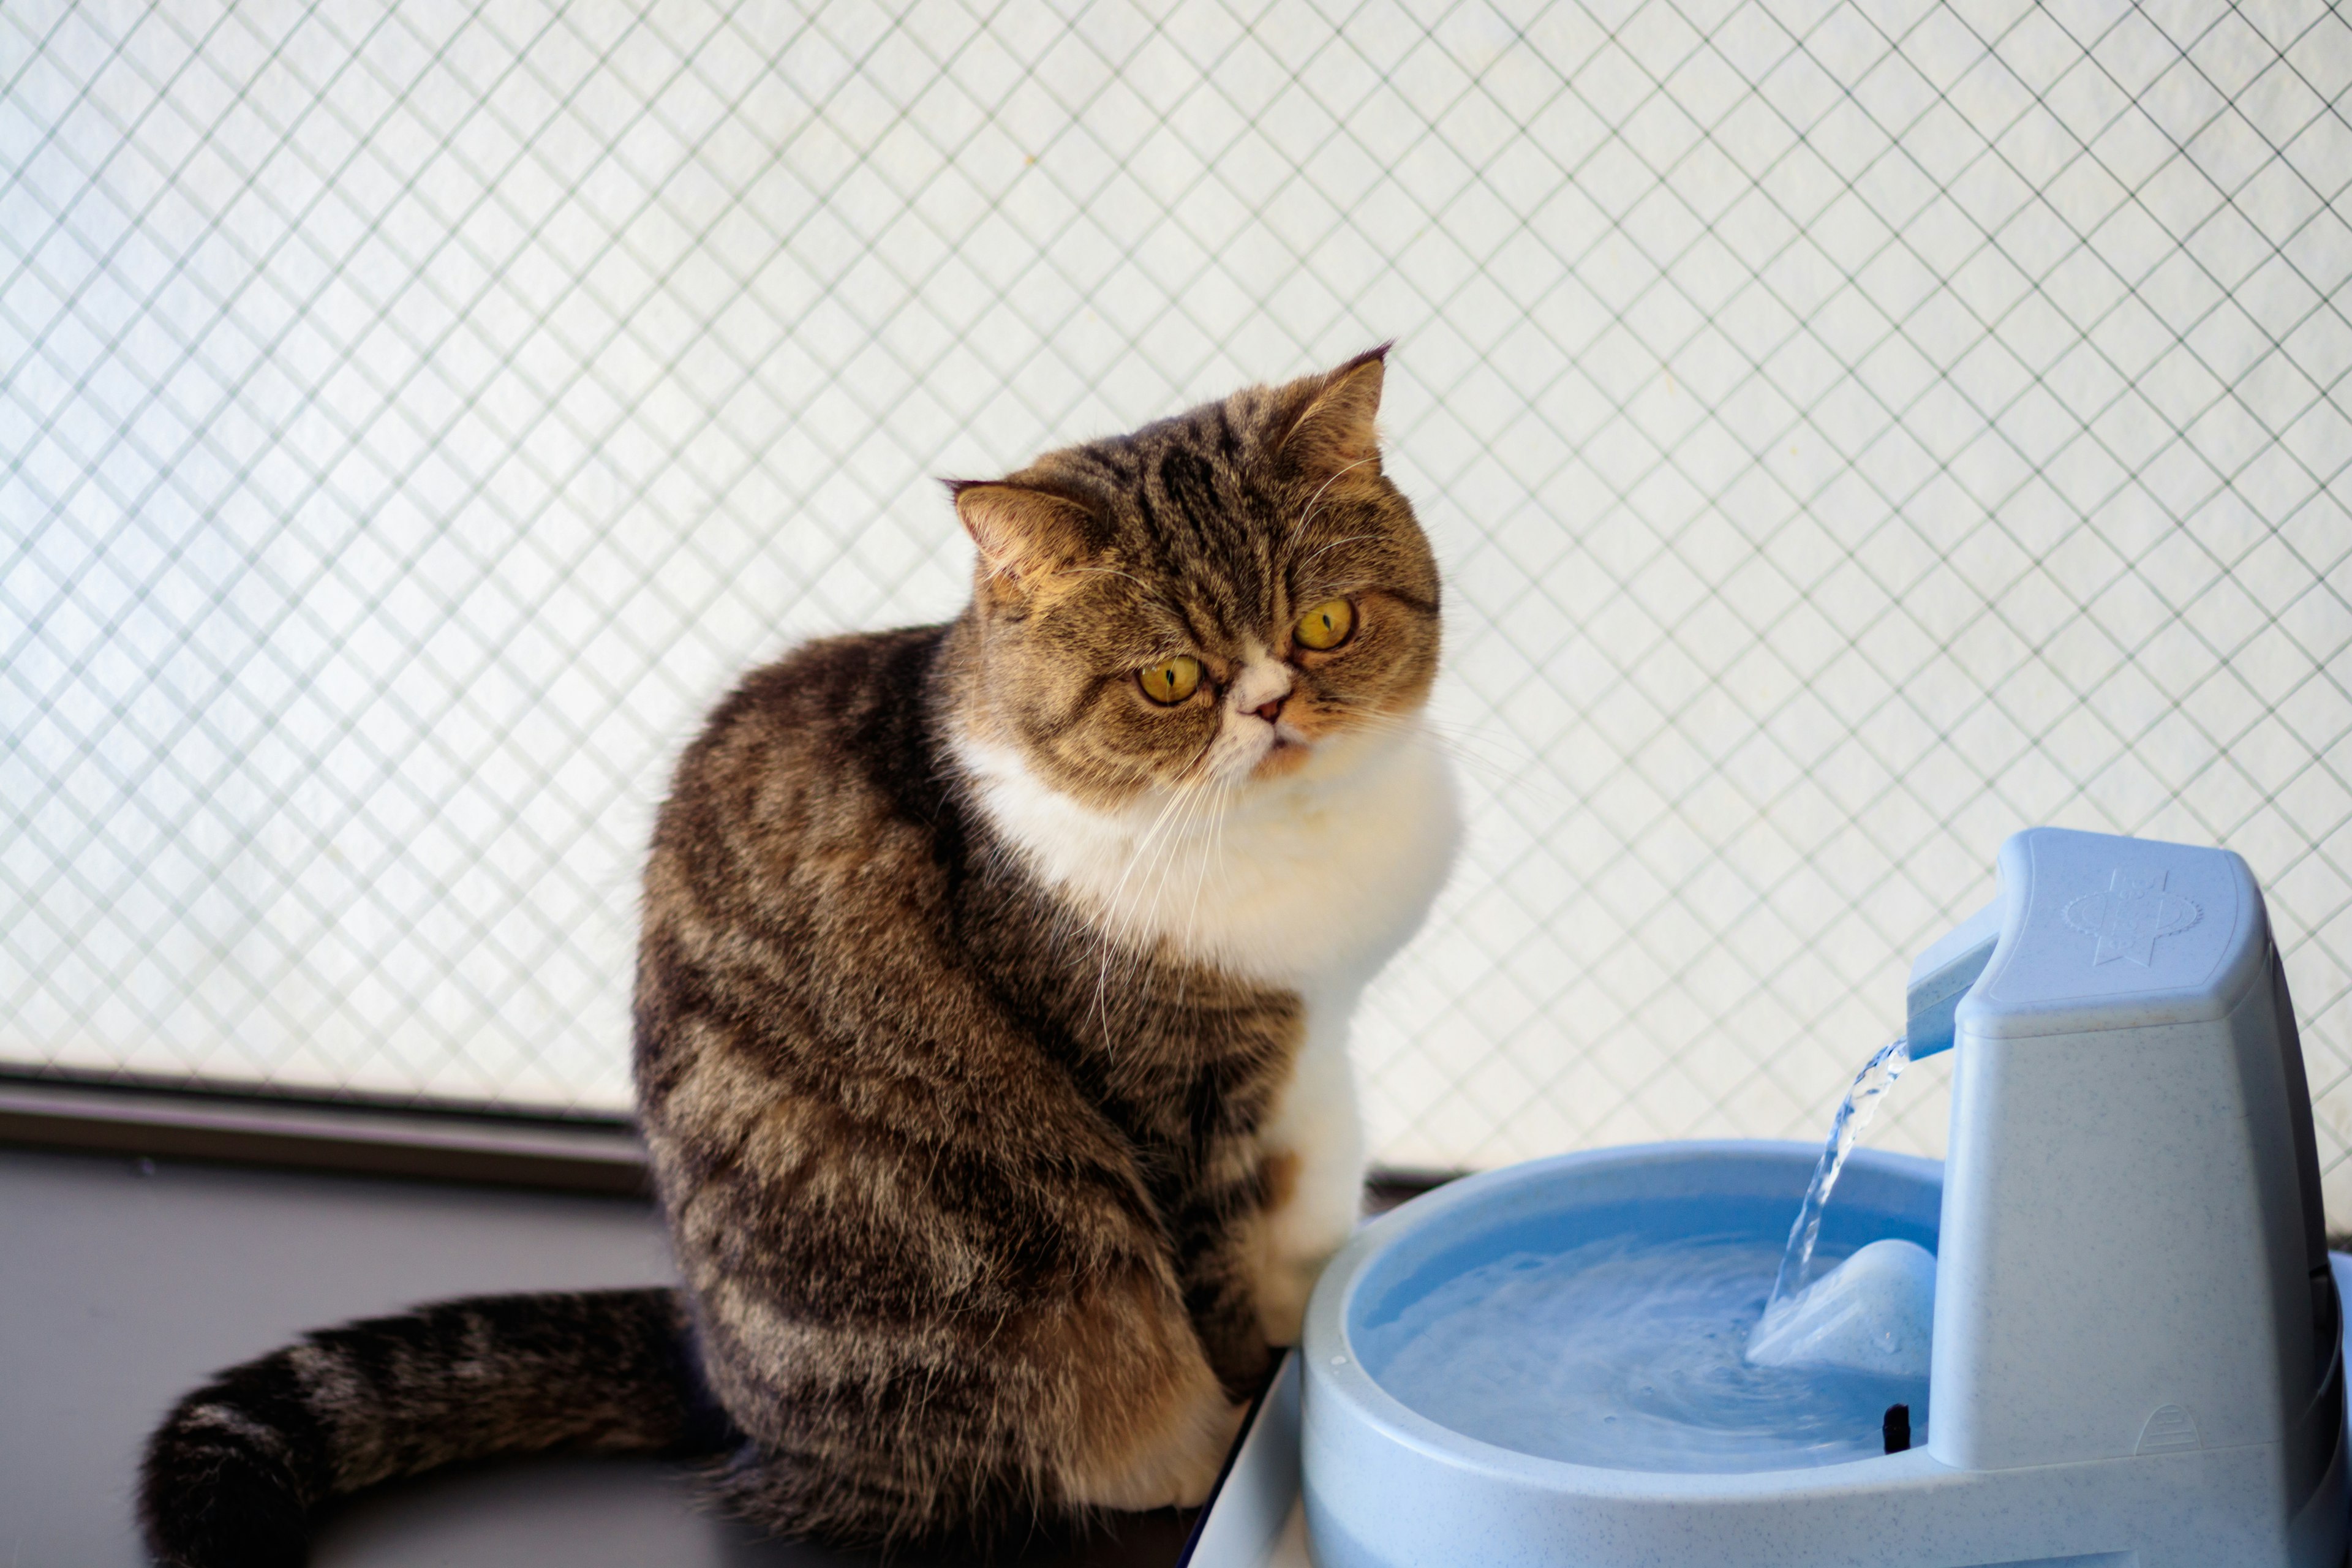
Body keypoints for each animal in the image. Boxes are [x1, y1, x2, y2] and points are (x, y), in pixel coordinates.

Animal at [137, 350, 1458, 1561]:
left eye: (1325, 623)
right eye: (1172, 677)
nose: (1275, 706)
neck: (1282, 834)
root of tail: (717, 1375)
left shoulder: (1311, 1052)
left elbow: (1303, 1212)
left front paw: (1304, 1327)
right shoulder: (1167, 1104)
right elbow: (1215, 1272)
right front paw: (1254, 1413)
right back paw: (1176, 1450)